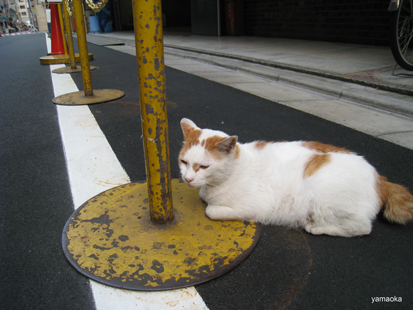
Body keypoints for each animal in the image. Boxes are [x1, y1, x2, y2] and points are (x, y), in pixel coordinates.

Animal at [178, 118, 412, 237]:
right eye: (184, 162)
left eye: (203, 166)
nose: (188, 179)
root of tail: (380, 178)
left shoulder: (256, 206)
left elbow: (211, 210)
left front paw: (211, 205)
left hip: (325, 200)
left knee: (362, 227)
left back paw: (316, 227)